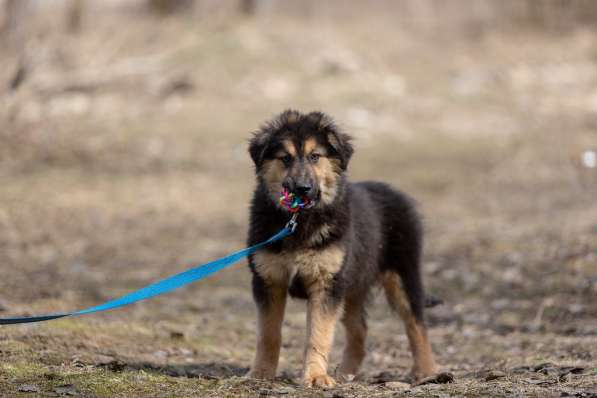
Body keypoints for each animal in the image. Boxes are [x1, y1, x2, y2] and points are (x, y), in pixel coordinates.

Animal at [244, 109, 436, 388]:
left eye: (315, 156)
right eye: (285, 158)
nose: (302, 189)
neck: (299, 221)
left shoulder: (327, 283)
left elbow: (318, 334)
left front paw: (315, 376)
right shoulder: (268, 280)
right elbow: (268, 334)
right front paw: (260, 373)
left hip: (403, 275)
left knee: (416, 323)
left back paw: (426, 370)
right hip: (354, 284)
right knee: (359, 329)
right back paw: (346, 373)